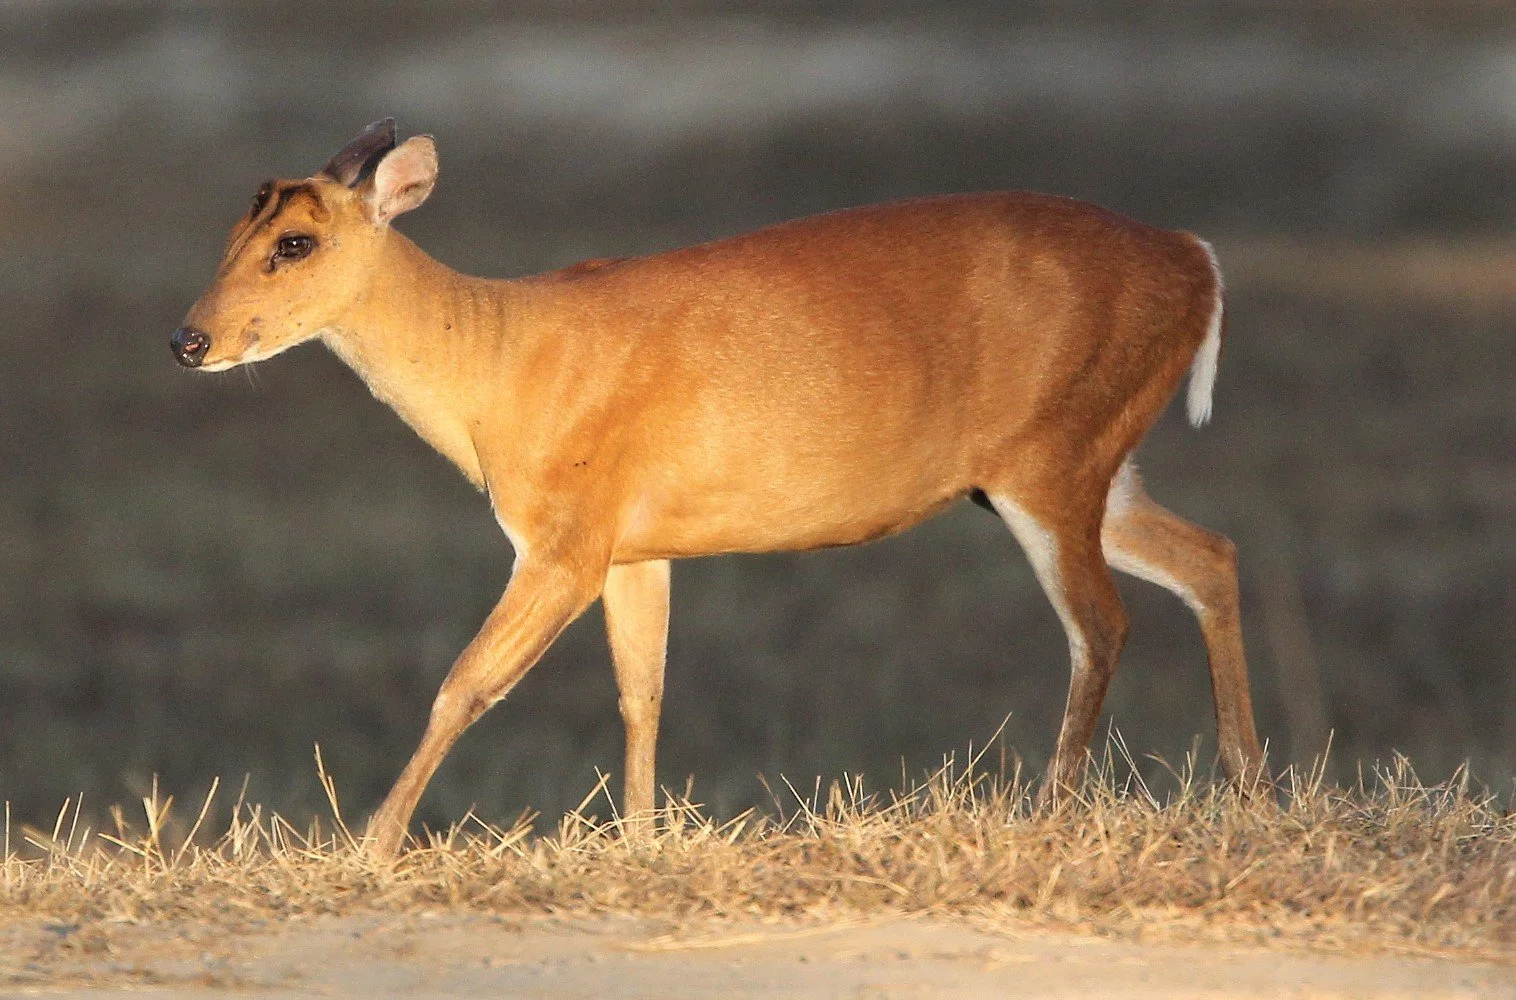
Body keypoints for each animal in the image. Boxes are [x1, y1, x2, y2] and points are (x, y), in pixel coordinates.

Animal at [172, 120, 1267, 857]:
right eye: (232, 230)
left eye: (296, 242)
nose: (190, 340)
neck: (500, 370)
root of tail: (1197, 260)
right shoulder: (636, 547)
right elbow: (642, 692)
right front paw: (639, 844)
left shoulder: (565, 539)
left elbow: (465, 684)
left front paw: (370, 849)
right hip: (1084, 465)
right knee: (1211, 555)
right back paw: (1248, 788)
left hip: (1050, 457)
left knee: (1103, 622)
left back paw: (1054, 812)